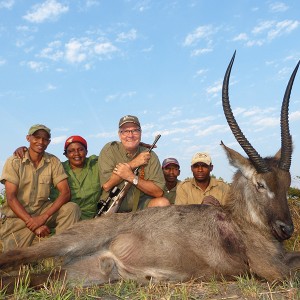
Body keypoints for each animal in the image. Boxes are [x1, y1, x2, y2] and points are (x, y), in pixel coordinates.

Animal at [0, 52, 300, 288]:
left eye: (286, 183)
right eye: (260, 184)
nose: (286, 229)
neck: (239, 222)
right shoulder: (271, 269)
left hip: (84, 274)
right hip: (68, 242)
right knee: (15, 256)